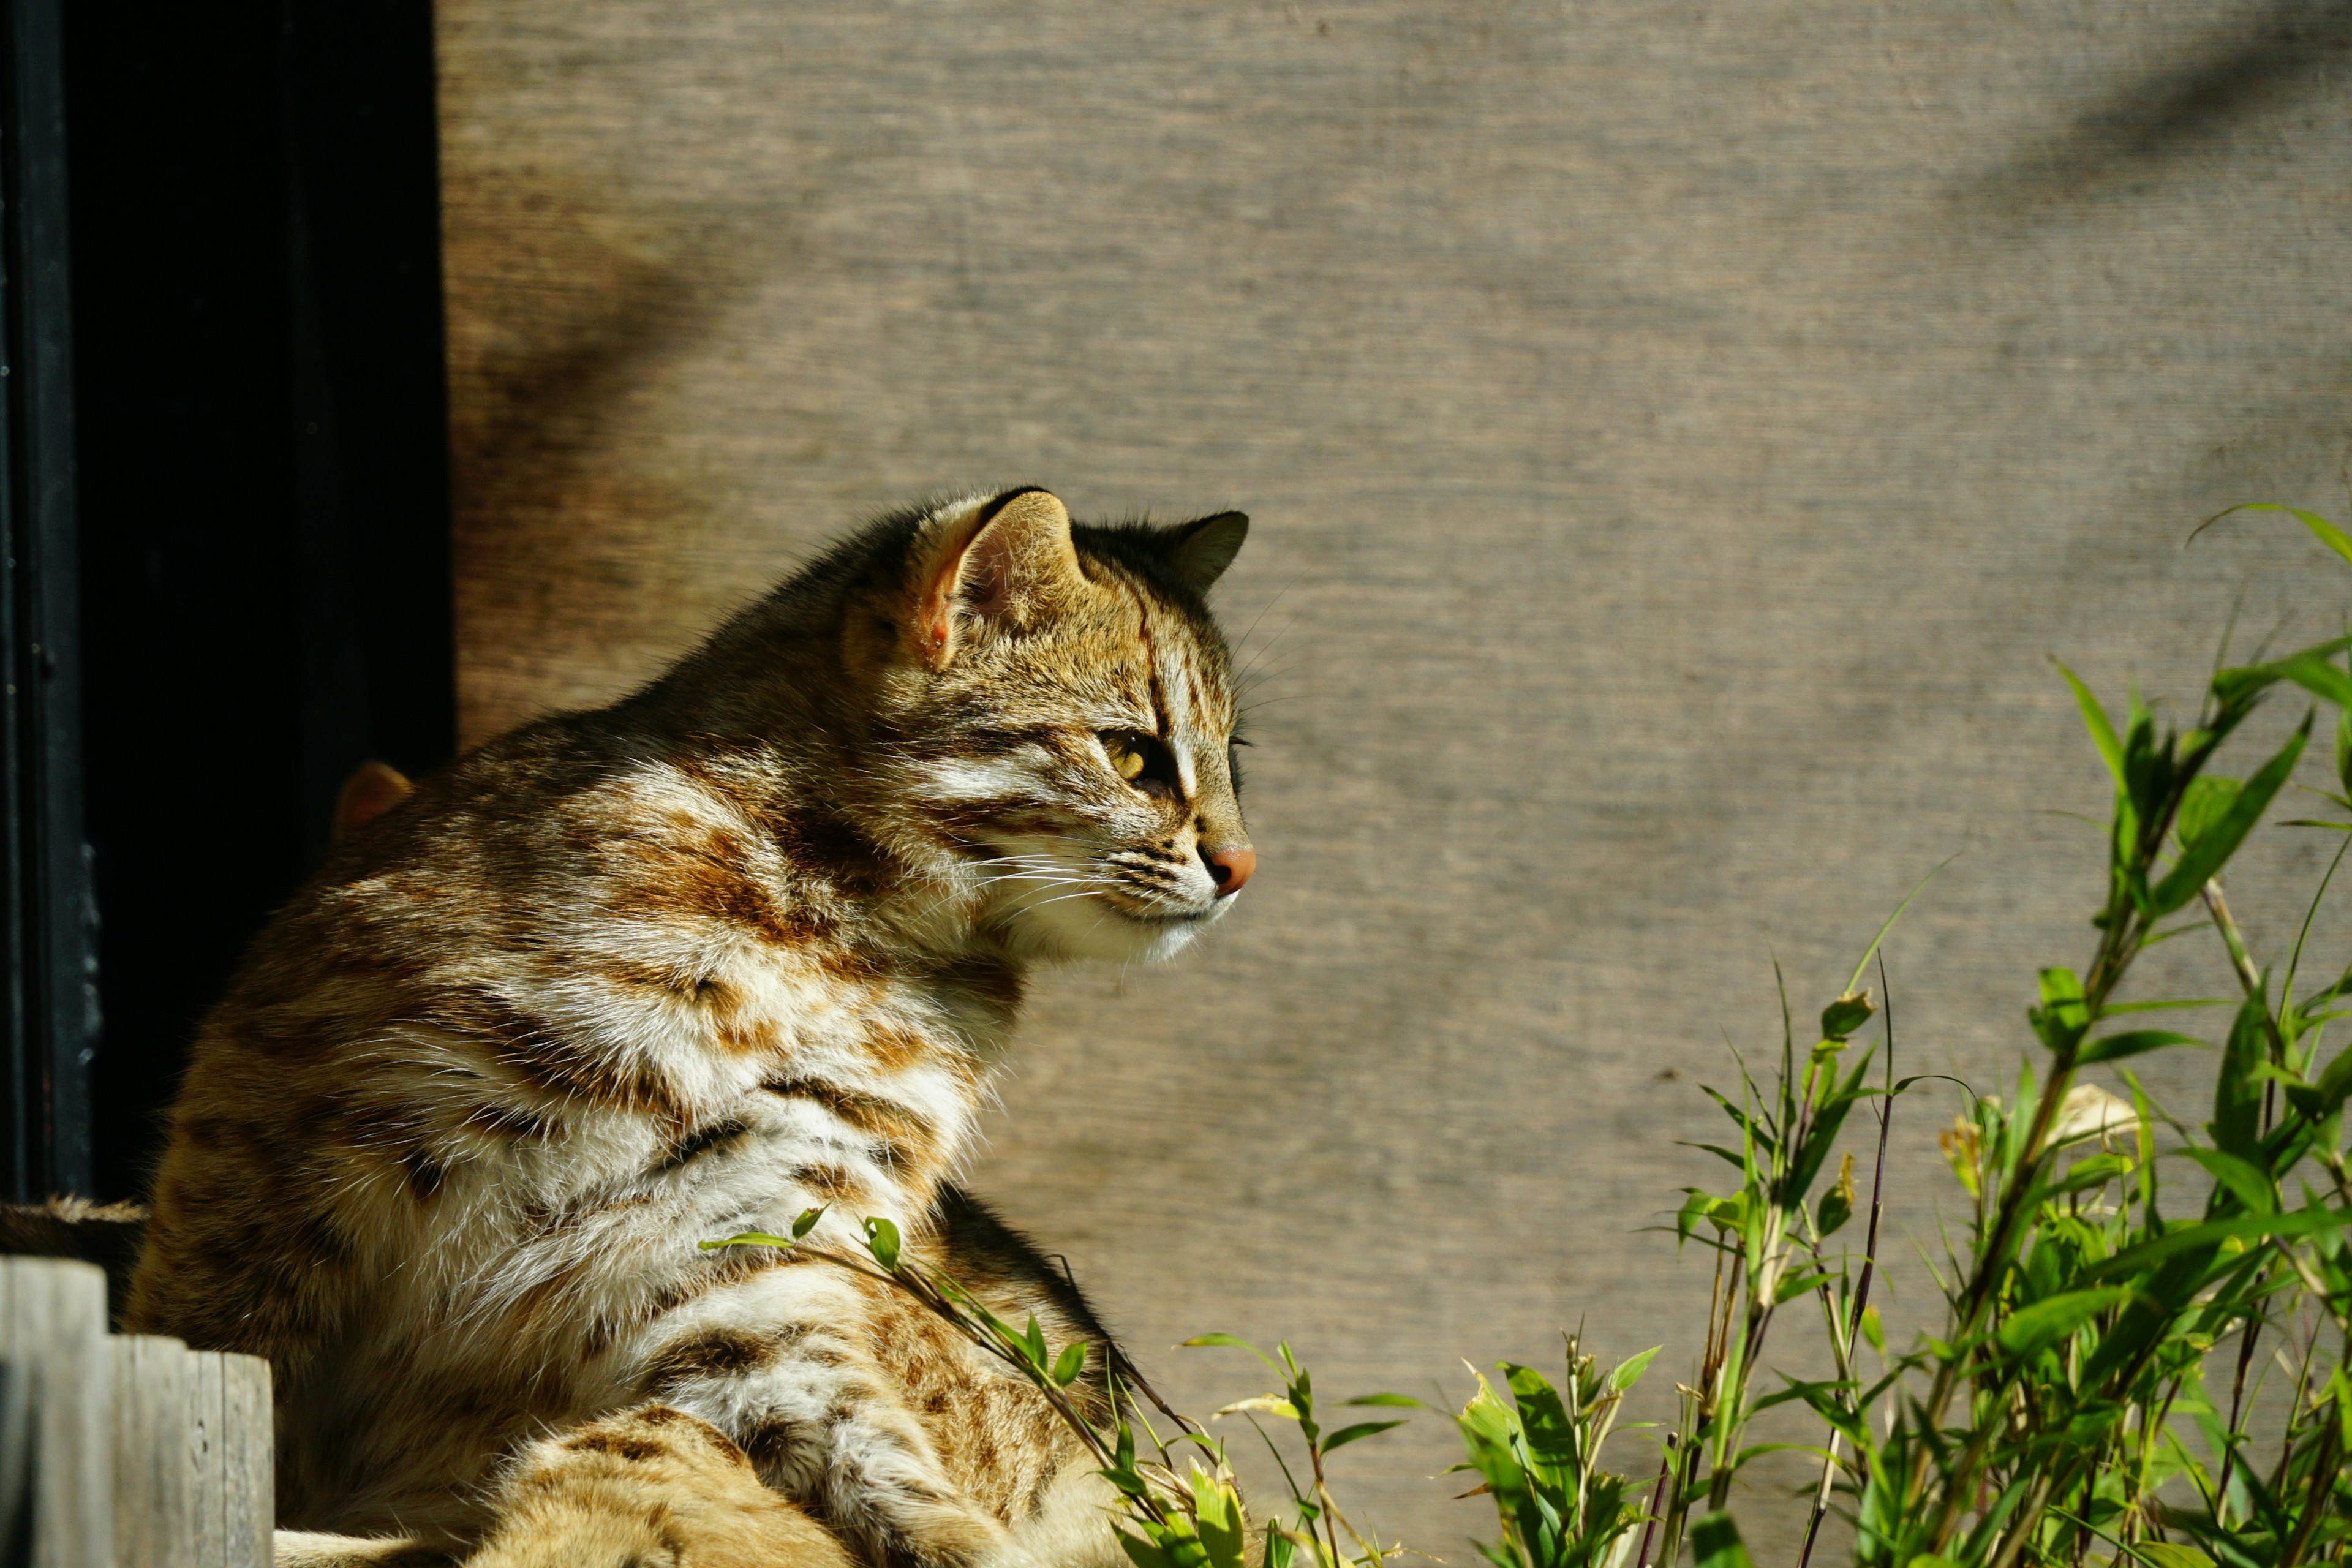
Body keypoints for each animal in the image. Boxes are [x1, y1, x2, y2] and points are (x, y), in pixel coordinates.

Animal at [119, 491, 1261, 1568]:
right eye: (1133, 757)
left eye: (1230, 763)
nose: (1244, 867)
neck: (850, 931)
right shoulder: (294, 1140)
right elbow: (231, 1368)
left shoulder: (734, 1244)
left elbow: (864, 1440)